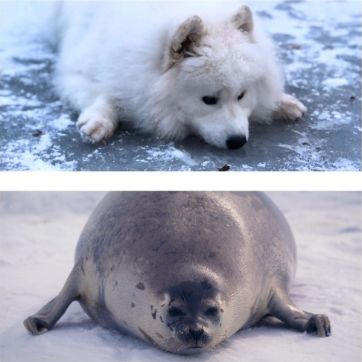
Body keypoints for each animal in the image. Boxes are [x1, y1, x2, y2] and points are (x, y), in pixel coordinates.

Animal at [53, 0, 306, 149]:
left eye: (241, 95)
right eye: (208, 100)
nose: (237, 142)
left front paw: (283, 102)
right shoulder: (77, 69)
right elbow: (102, 93)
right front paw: (99, 120)